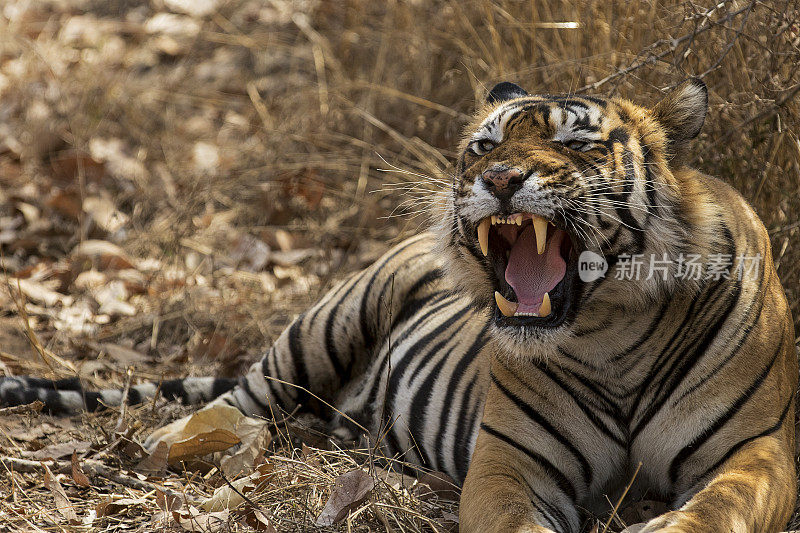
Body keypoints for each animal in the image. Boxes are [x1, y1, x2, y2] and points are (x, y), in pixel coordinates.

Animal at [3, 80, 796, 532]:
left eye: (577, 144)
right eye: (483, 144)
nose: (497, 178)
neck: (610, 330)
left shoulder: (758, 450)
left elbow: (718, 511)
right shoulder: (510, 461)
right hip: (327, 321)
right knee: (243, 394)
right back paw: (177, 444)